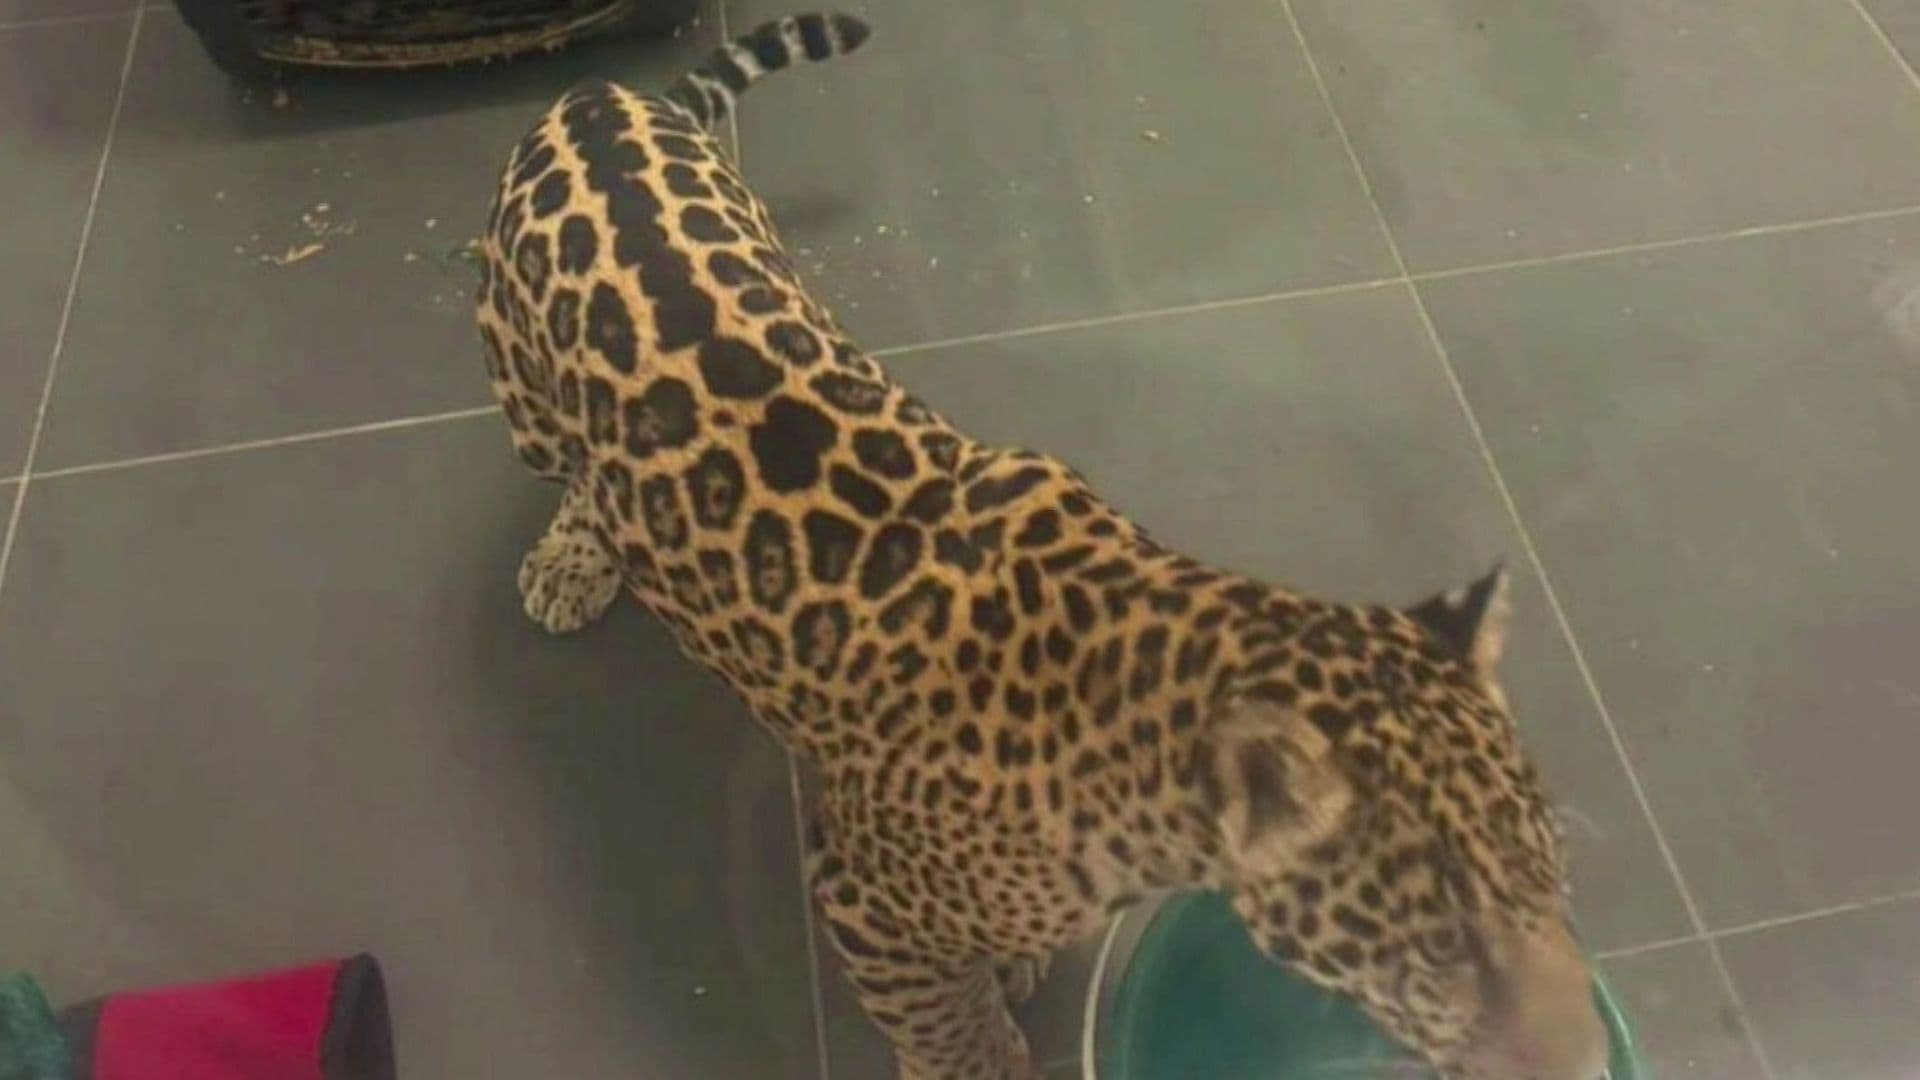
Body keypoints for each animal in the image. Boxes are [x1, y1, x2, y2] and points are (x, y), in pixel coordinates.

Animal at [475, 12, 1610, 1079]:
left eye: (1556, 881)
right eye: (1448, 950)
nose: (1589, 1061)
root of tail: (603, 98)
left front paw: (1011, 963)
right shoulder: (861, 899)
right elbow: (946, 1028)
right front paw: (980, 1046)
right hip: (523, 398)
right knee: (571, 472)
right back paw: (574, 559)